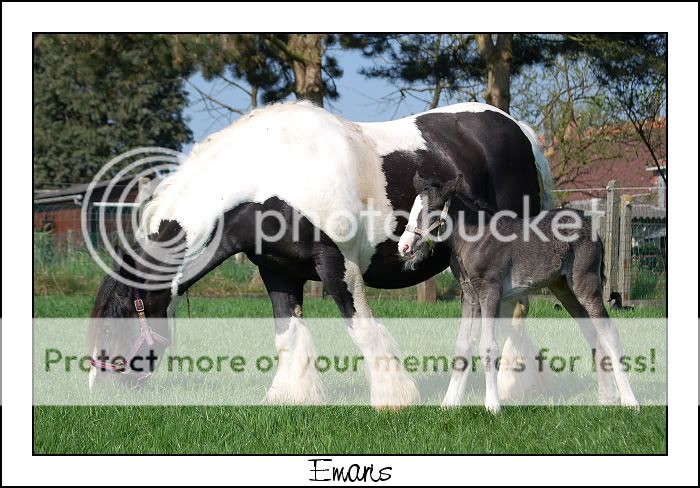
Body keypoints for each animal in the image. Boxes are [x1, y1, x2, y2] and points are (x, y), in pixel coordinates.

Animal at [89, 99, 552, 408]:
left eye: (112, 325)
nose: (100, 394)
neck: (268, 175)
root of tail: (520, 130)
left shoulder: (336, 263)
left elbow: (361, 328)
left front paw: (395, 398)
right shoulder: (277, 272)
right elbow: (288, 334)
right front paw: (290, 396)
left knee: (513, 315)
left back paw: (513, 388)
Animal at [404, 173, 640, 414]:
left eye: (431, 210)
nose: (404, 246)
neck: (475, 238)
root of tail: (591, 227)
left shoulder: (490, 291)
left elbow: (488, 345)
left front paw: (492, 405)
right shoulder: (469, 296)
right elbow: (462, 344)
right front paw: (449, 403)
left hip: (586, 284)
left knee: (609, 334)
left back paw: (630, 401)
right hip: (564, 289)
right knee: (593, 334)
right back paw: (607, 398)